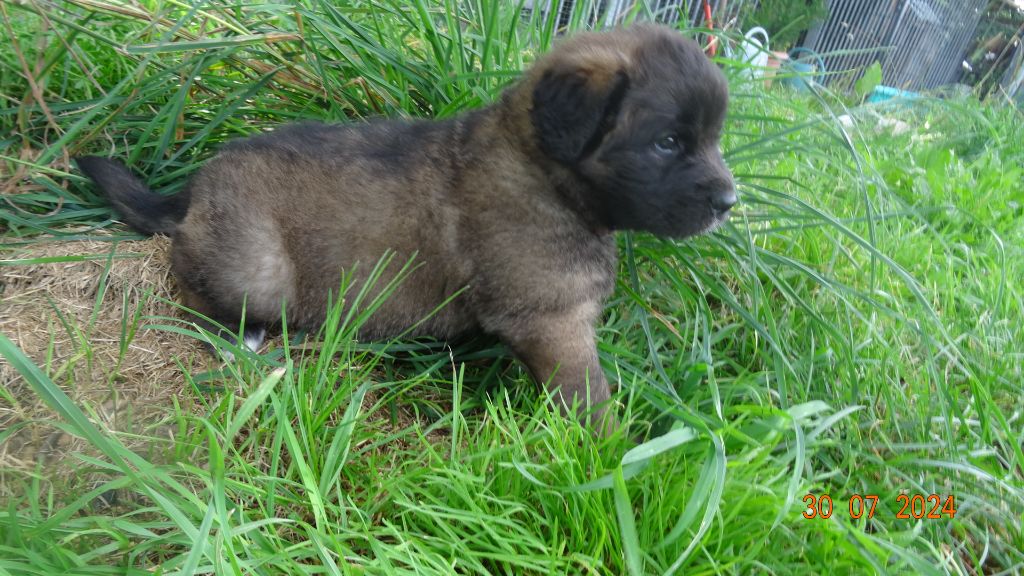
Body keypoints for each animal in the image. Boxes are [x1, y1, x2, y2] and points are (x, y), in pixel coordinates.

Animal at [77, 23, 735, 434]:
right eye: (667, 142)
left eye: (711, 137)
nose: (729, 201)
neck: (542, 169)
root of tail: (195, 189)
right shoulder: (553, 319)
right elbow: (589, 395)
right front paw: (616, 456)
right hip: (257, 268)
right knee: (187, 276)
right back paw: (240, 335)